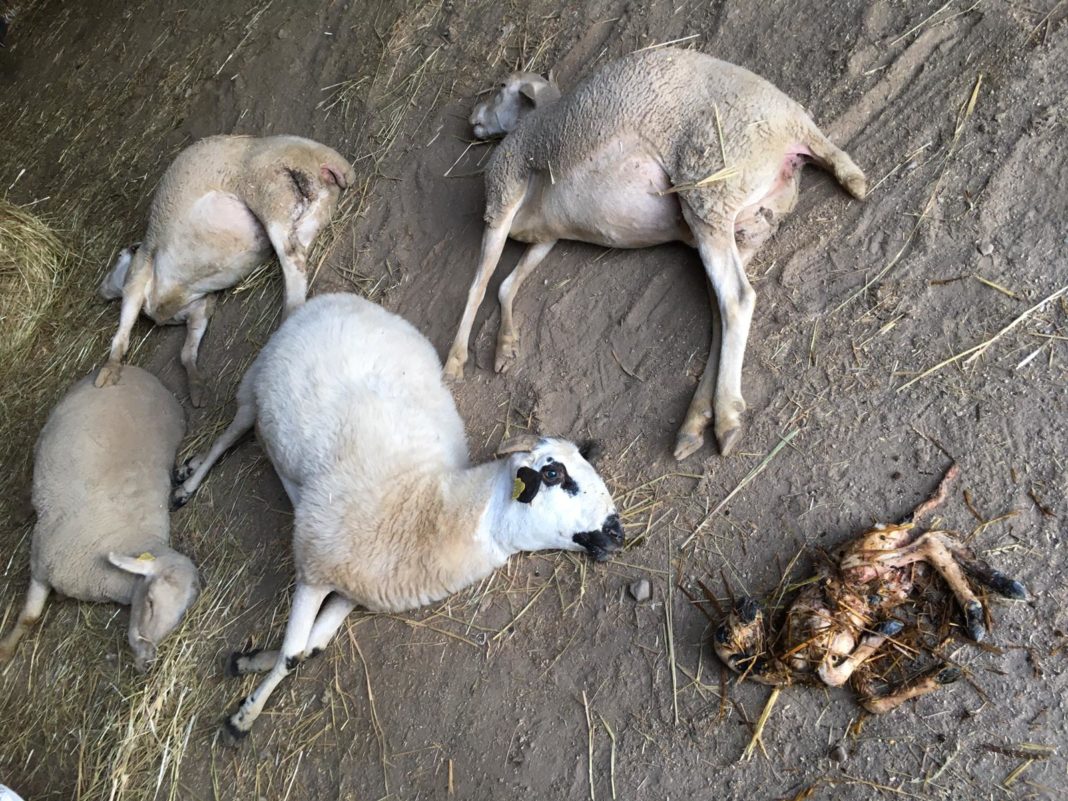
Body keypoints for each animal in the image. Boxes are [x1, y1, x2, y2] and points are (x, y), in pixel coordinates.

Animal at [0, 366, 199, 672]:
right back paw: (23, 510)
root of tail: (137, 371)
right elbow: (29, 617)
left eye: (177, 619)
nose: (147, 662)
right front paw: (5, 651)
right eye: (150, 602)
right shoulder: (41, 564)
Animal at [95, 134, 356, 406]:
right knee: (301, 246)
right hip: (314, 206)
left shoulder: (138, 273)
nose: (100, 290)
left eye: (120, 256)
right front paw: (196, 388)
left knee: (292, 260)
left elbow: (122, 331)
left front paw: (109, 371)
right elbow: (186, 354)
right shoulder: (201, 307)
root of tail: (321, 157)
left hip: (267, 190)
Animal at [170, 292, 624, 739]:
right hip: (254, 384)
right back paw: (187, 484)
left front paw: (249, 662)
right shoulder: (315, 567)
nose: (616, 531)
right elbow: (292, 654)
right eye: (553, 473)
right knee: (230, 435)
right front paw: (243, 717)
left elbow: (311, 647)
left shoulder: (354, 590)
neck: (427, 508)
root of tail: (336, 298)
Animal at [446, 48, 867, 460]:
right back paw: (694, 423)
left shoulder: (503, 195)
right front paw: (505, 346)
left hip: (708, 186)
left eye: (503, 85)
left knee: (738, 298)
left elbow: (478, 286)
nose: (472, 118)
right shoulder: (546, 237)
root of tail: (797, 126)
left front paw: (454, 363)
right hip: (745, 225)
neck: (533, 122)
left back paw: (727, 417)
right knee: (721, 314)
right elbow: (506, 284)